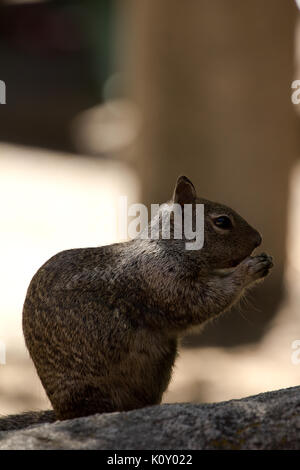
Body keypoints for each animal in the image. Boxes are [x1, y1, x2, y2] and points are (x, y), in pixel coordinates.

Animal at [0, 176, 272, 430]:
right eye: (222, 222)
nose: (259, 239)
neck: (169, 247)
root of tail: (60, 413)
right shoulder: (165, 283)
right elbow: (202, 302)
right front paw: (249, 269)